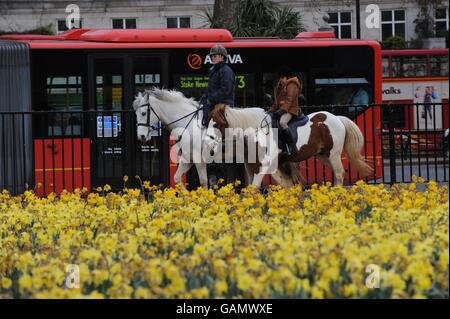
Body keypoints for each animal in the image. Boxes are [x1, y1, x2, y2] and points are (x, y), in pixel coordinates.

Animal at [207, 105, 372, 189]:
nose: (209, 147)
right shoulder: (256, 166)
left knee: (339, 173)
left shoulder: (266, 164)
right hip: (323, 156)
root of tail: (337, 118)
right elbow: (282, 183)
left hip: (334, 154)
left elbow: (256, 186)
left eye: (215, 124)